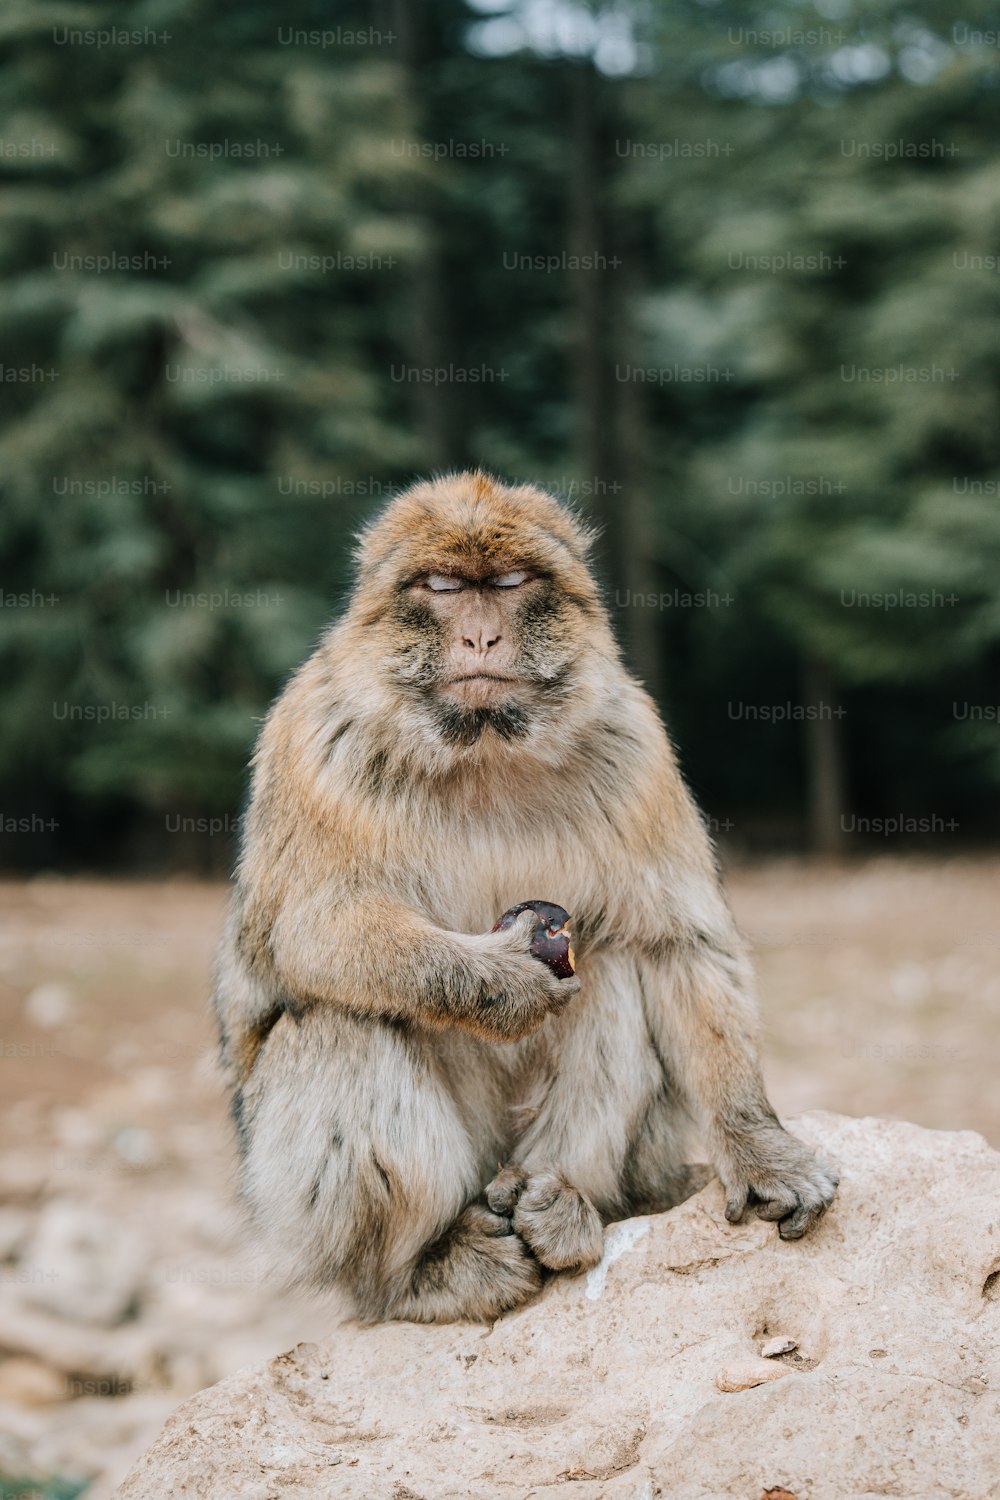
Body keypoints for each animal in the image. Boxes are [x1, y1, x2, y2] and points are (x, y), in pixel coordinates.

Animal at [211, 468, 839, 1326]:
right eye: (443, 587)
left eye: (508, 585)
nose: (481, 638)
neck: (482, 744)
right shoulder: (314, 737)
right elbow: (312, 929)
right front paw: (498, 982)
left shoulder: (635, 740)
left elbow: (679, 945)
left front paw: (758, 1144)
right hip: (310, 1208)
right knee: (340, 1025)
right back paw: (422, 1270)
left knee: (614, 971)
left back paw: (561, 1207)